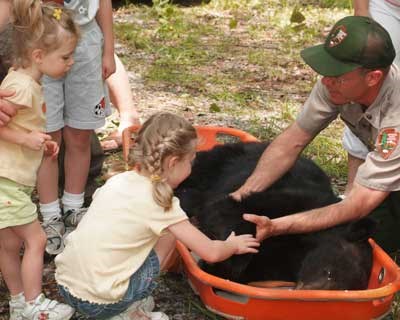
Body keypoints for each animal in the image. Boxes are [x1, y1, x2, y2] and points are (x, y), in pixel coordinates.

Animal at [175, 142, 376, 290]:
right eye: (328, 273)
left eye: (346, 289)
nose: (303, 291)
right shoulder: (288, 201)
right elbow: (227, 212)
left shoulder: (278, 263)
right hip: (217, 163)